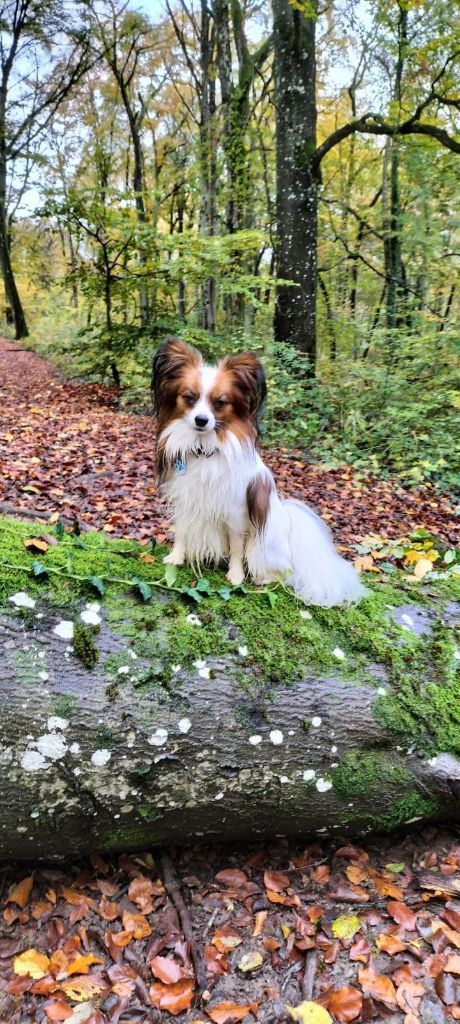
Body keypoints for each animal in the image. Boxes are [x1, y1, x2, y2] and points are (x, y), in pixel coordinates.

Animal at [152, 335, 364, 606]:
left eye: (219, 403)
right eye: (189, 397)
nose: (201, 420)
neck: (204, 450)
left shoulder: (235, 512)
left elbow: (235, 546)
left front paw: (235, 575)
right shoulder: (185, 499)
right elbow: (182, 530)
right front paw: (176, 557)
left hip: (262, 547)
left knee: (283, 572)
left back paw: (263, 578)